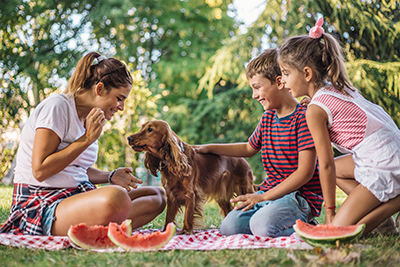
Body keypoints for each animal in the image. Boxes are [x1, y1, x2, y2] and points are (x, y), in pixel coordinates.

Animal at [126, 120, 255, 234]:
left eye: (150, 129)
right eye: (142, 127)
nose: (129, 138)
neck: (171, 160)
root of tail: (244, 160)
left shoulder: (190, 193)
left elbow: (188, 214)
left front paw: (186, 231)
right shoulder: (171, 194)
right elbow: (169, 216)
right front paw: (165, 231)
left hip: (245, 189)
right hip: (223, 198)